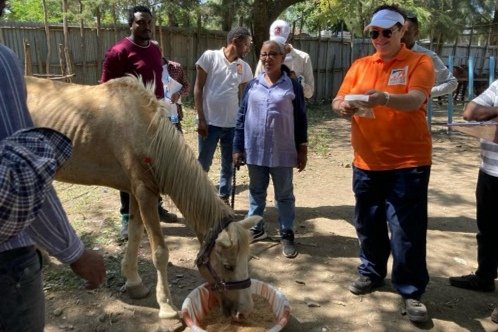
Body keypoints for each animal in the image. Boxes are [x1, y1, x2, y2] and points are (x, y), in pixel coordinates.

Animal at [24, 76, 258, 322]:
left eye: (247, 259)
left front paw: (133, 281)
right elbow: (160, 252)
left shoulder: (136, 191)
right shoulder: (145, 193)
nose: (245, 311)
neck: (146, 133)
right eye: (228, 265)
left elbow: (135, 235)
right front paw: (166, 306)